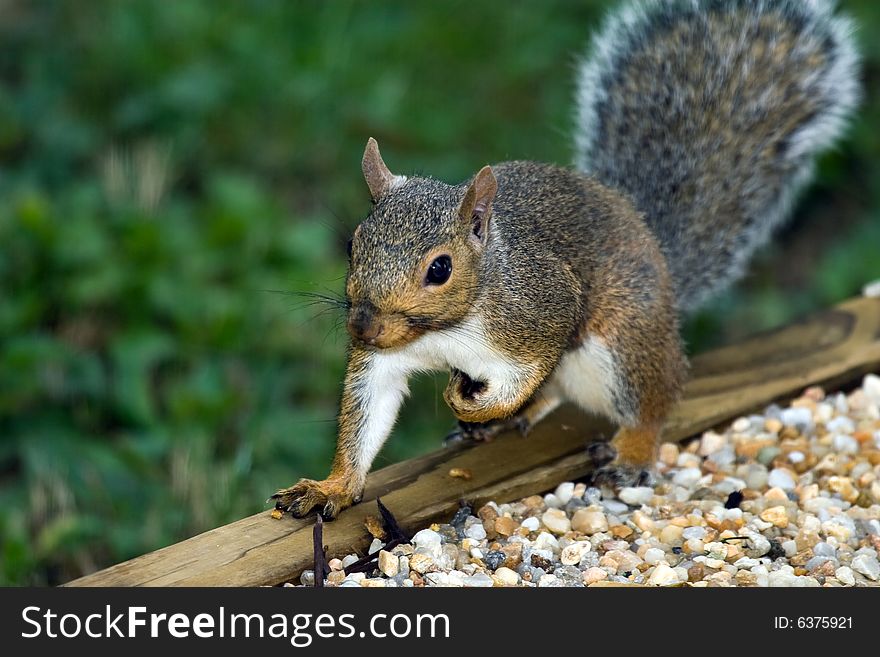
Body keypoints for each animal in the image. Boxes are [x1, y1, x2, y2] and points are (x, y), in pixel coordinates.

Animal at [274, 0, 860, 516]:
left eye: (439, 269)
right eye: (353, 244)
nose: (362, 328)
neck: (445, 329)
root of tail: (660, 260)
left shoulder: (542, 310)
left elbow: (522, 375)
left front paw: (474, 402)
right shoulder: (388, 355)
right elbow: (369, 410)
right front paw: (332, 488)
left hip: (623, 340)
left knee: (653, 400)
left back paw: (629, 449)